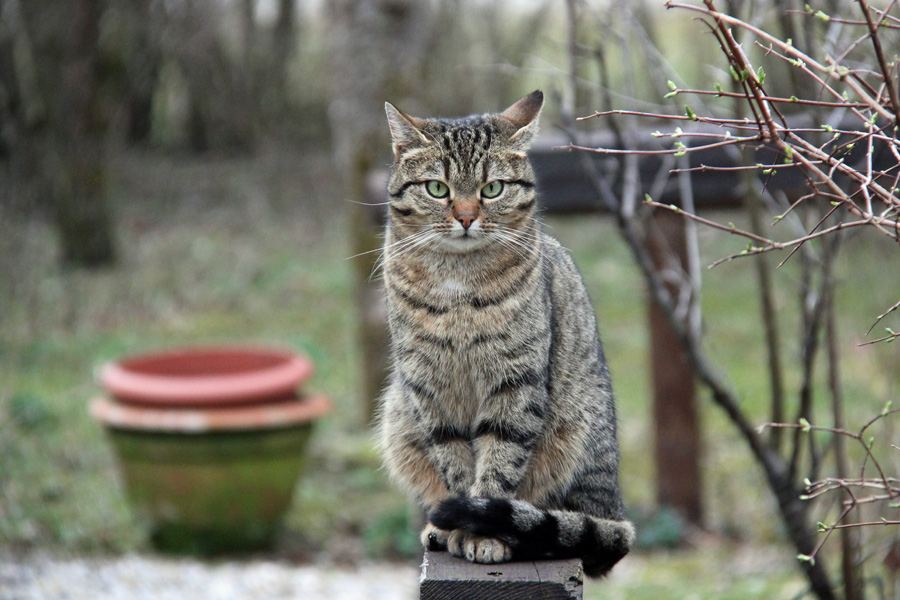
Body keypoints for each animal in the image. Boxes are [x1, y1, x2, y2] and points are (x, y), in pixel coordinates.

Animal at [376, 90, 636, 576]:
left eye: (491, 188)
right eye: (437, 188)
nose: (465, 218)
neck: (457, 283)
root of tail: (614, 508)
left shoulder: (516, 383)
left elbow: (497, 466)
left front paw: (481, 533)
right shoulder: (429, 391)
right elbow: (456, 466)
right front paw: (460, 525)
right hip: (398, 417)